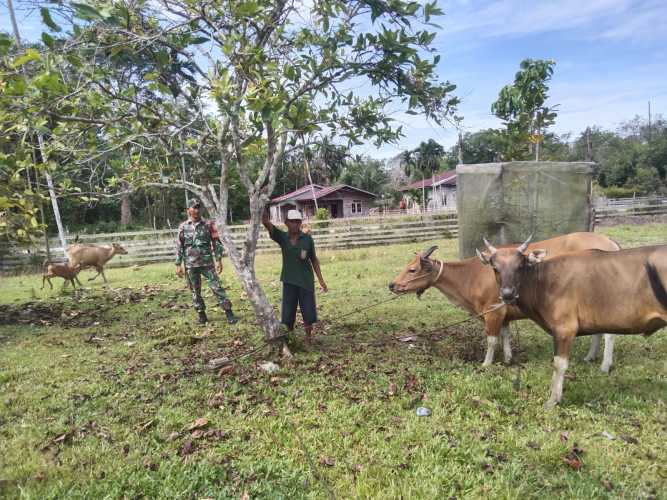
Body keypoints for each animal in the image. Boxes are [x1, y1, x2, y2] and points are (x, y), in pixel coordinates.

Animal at [388, 231, 620, 372]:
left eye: (412, 269)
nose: (392, 284)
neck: (472, 274)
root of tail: (610, 242)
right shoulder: (505, 313)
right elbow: (506, 335)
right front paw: (508, 359)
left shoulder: (493, 312)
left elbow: (492, 339)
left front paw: (486, 363)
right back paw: (590, 357)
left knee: (609, 334)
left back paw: (605, 365)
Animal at [480, 237, 667, 406]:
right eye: (495, 268)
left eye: (520, 266)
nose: (507, 294)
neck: (545, 281)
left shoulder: (565, 329)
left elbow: (559, 364)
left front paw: (553, 400)